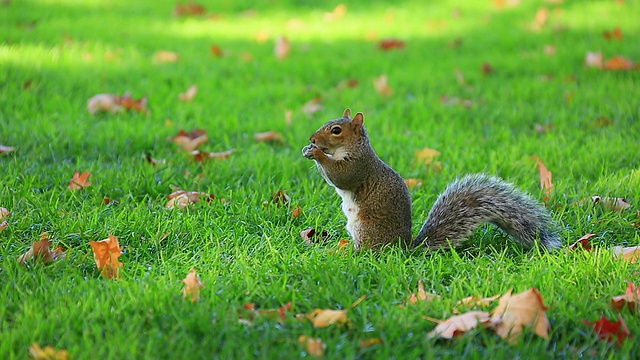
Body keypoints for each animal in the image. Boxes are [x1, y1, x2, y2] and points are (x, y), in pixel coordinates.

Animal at [300, 108, 560, 252]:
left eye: (336, 130)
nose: (311, 138)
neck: (352, 147)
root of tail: (403, 248)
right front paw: (308, 149)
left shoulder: (359, 166)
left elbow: (340, 177)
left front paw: (317, 153)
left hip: (366, 228)